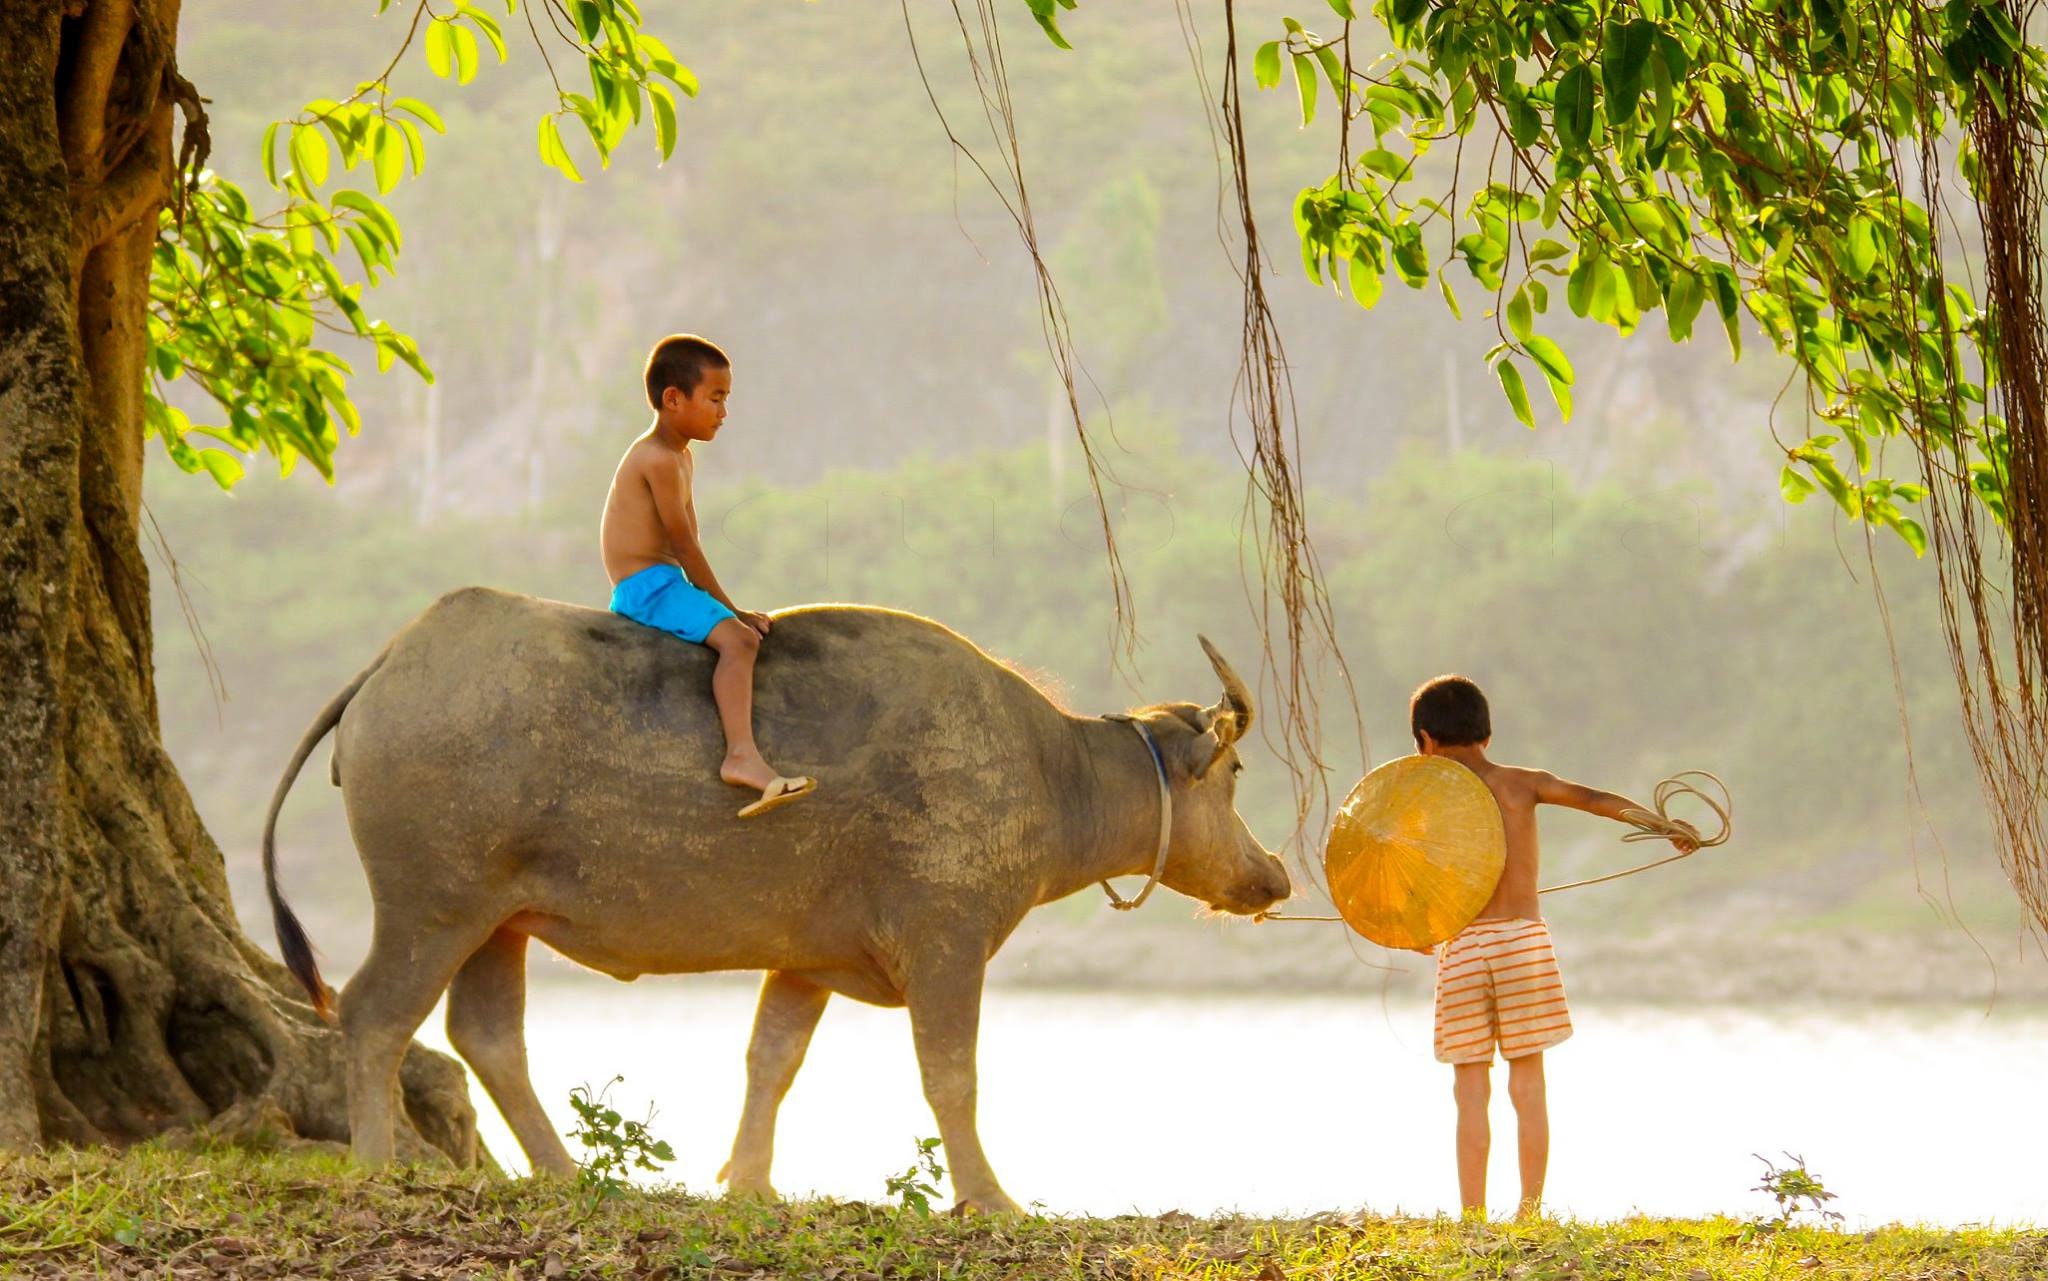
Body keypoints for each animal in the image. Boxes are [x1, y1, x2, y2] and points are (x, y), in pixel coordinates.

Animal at [264, 590, 1286, 1205]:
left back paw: (567, 1173)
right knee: (374, 1012)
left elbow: (772, 1060)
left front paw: (748, 1181)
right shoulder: (947, 943)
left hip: (496, 920)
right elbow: (951, 1077)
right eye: (1236, 771)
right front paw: (990, 1196)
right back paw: (376, 1163)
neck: (1049, 768)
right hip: (432, 908)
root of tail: (394, 659)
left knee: (487, 1035)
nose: (1274, 873)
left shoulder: (807, 960)